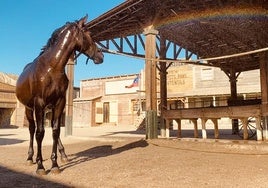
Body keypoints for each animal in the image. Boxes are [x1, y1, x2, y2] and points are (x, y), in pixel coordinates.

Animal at [15, 15, 103, 175]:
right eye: (89, 35)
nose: (101, 55)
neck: (52, 68)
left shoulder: (59, 102)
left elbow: (56, 132)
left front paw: (55, 164)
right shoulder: (39, 103)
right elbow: (40, 133)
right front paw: (40, 166)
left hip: (47, 109)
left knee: (50, 129)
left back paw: (63, 155)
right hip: (30, 109)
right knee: (32, 130)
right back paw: (30, 158)